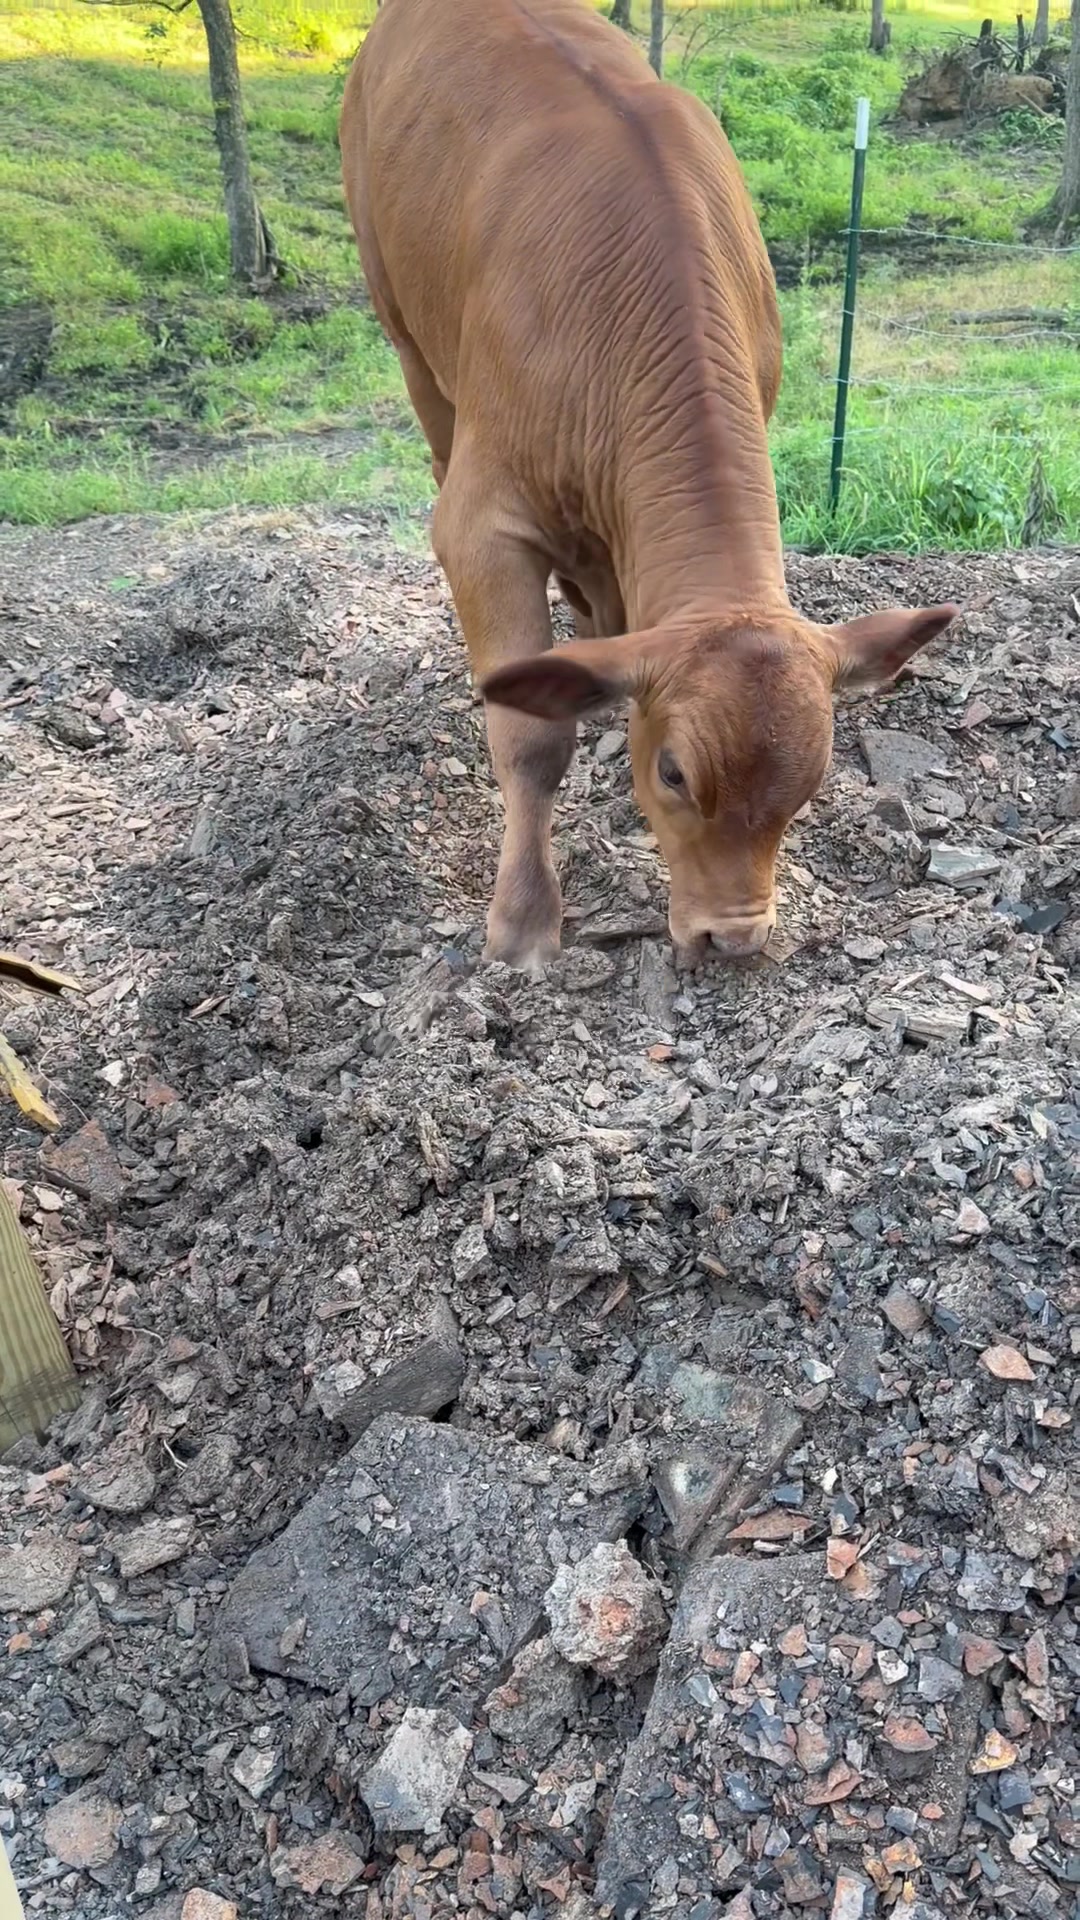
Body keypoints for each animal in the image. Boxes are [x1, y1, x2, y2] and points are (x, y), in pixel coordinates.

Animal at [340, 0, 957, 971]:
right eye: (673, 772)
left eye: (812, 784)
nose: (730, 936)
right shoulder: (483, 525)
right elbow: (529, 735)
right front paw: (524, 919)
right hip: (402, 325)